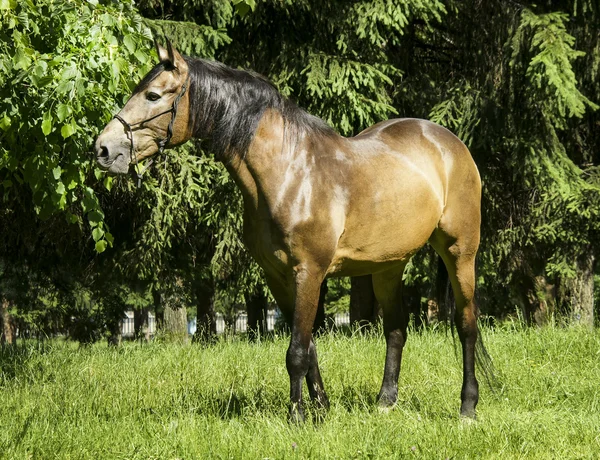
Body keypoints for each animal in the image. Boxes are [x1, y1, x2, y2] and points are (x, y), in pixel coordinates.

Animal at [95, 41, 488, 422]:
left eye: (152, 96)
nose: (102, 148)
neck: (288, 172)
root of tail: (448, 141)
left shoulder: (309, 273)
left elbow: (296, 351)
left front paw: (297, 416)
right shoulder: (277, 277)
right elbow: (309, 347)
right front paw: (321, 409)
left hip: (460, 252)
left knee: (467, 324)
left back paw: (468, 407)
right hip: (388, 265)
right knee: (395, 328)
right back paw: (385, 402)